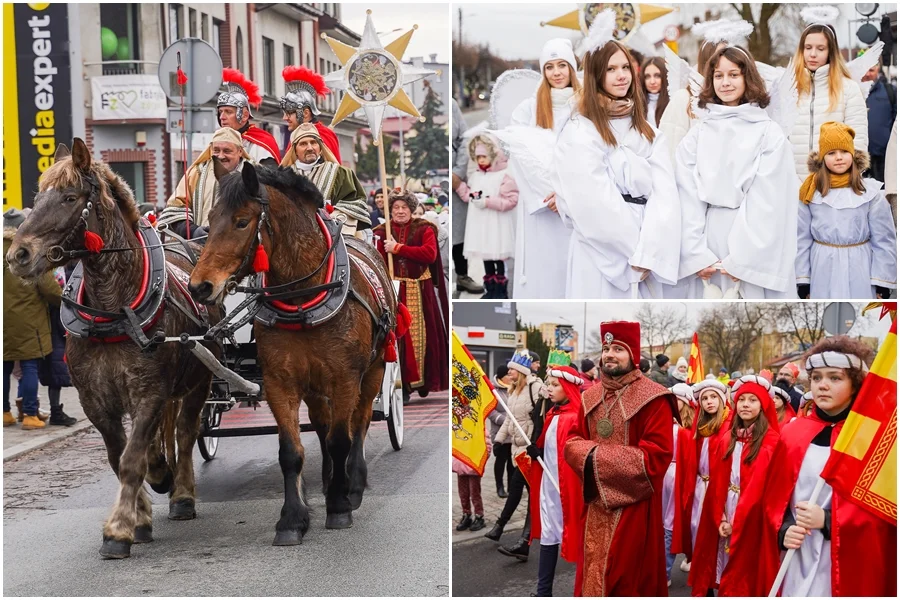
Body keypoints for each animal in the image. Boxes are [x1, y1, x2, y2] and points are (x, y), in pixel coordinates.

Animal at [5, 139, 223, 556]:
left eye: (69, 197)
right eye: (37, 198)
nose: (17, 255)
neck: (114, 312)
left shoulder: (149, 392)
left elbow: (132, 459)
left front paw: (119, 529)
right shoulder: (96, 399)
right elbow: (117, 455)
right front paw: (140, 517)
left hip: (199, 382)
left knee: (185, 433)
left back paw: (182, 494)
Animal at [188, 163, 396, 544]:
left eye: (242, 221)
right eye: (209, 219)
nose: (200, 286)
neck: (303, 298)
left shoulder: (345, 379)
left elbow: (342, 439)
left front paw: (340, 505)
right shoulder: (279, 381)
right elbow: (291, 451)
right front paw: (293, 519)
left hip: (373, 371)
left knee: (358, 423)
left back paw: (352, 483)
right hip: (315, 385)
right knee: (322, 425)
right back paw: (330, 480)